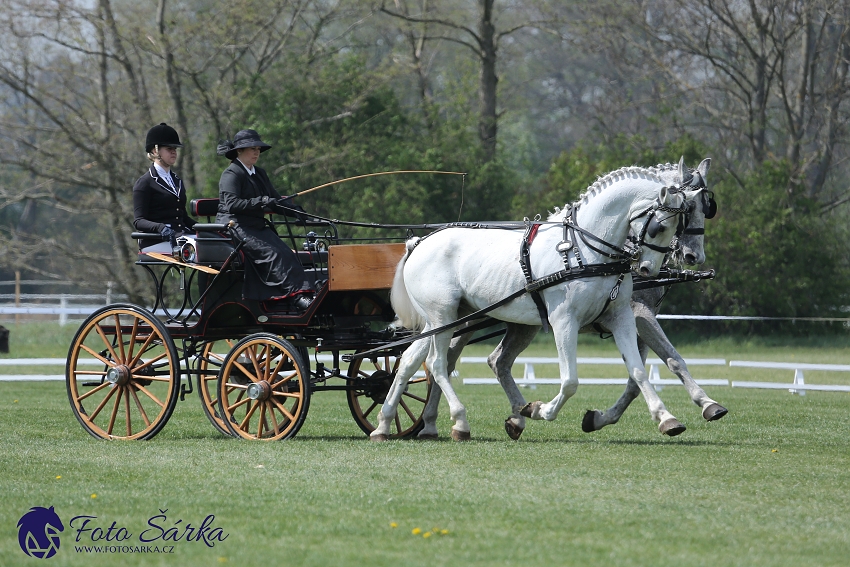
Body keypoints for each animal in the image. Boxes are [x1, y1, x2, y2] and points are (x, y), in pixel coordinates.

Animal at [368, 166, 700, 442]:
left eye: (680, 224)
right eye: (660, 227)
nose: (648, 269)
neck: (585, 251)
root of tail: (418, 244)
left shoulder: (620, 317)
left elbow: (638, 371)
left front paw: (666, 418)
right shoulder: (564, 320)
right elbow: (570, 381)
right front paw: (538, 409)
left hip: (446, 320)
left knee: (410, 361)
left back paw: (383, 425)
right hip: (443, 316)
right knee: (437, 364)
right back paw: (460, 422)